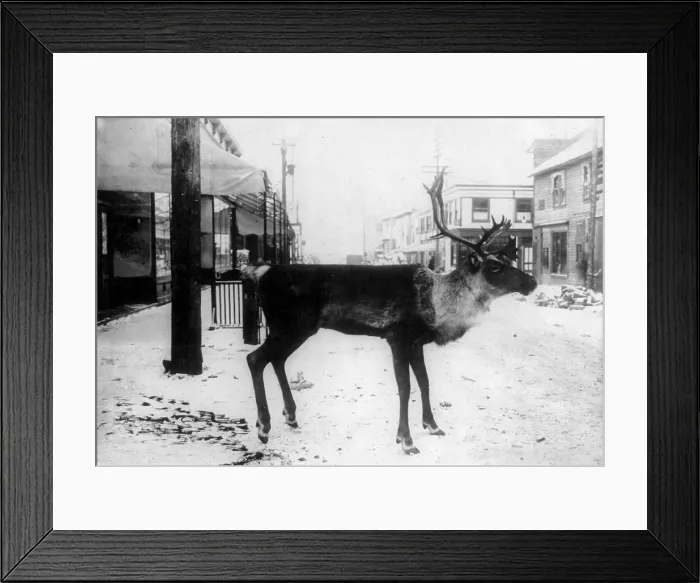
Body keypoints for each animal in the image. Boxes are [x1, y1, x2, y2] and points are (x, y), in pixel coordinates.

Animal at [242, 168, 537, 454]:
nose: (532, 282)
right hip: (289, 324)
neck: (435, 305)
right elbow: (405, 387)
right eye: (495, 267)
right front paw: (406, 440)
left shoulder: (417, 342)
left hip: (297, 328)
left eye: (508, 260)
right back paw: (263, 426)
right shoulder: (397, 336)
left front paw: (432, 426)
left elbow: (424, 381)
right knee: (256, 358)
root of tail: (262, 271)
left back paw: (290, 416)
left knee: (277, 360)